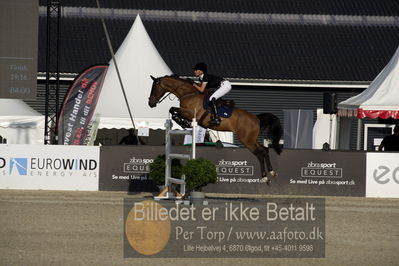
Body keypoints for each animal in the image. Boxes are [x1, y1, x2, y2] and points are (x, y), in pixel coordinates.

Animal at [148, 75, 282, 183]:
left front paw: (183, 122)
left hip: (247, 140)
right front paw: (183, 122)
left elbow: (172, 109)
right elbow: (173, 110)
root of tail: (256, 118)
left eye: (154, 88)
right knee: (264, 150)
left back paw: (265, 177)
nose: (150, 103)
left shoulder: (190, 113)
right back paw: (272, 172)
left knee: (259, 153)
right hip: (251, 139)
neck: (188, 94)